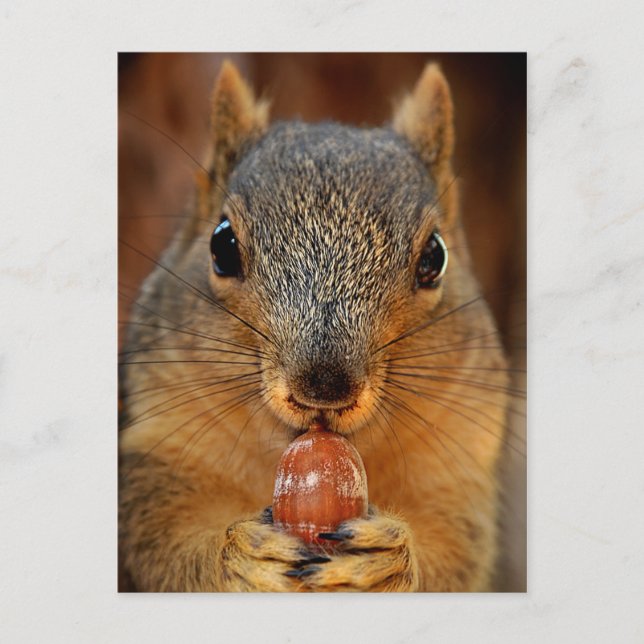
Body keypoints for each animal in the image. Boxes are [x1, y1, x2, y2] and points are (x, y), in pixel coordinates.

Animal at [119, 60, 513, 592]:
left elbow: (453, 559)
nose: (324, 387)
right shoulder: (162, 451)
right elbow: (162, 543)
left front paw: (387, 558)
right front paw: (240, 555)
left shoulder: (456, 472)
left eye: (435, 256)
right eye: (221, 245)